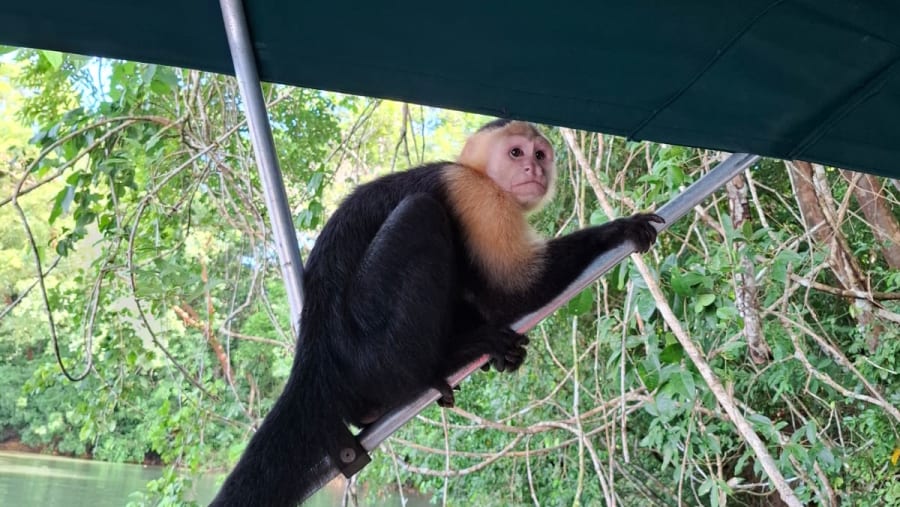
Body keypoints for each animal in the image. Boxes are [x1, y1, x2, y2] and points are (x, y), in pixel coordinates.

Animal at [209, 119, 663, 506]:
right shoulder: (476, 196)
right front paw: (617, 229)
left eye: (540, 155)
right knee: (421, 214)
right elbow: (510, 294)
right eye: (516, 152)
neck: (481, 176)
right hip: (371, 350)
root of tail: (314, 350)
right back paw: (434, 366)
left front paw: (498, 354)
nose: (534, 169)